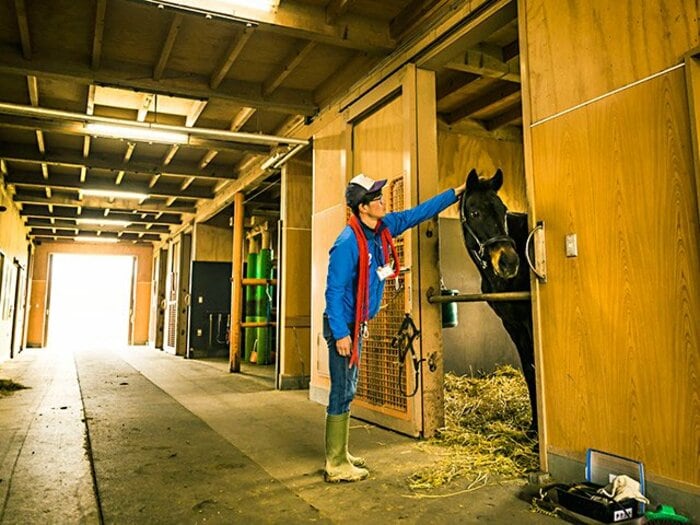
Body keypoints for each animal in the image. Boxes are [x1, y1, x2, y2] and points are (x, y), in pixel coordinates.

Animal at [459, 168, 537, 435]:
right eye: (475, 213)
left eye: (503, 210)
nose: (509, 262)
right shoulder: (512, 324)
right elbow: (529, 369)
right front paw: (534, 428)